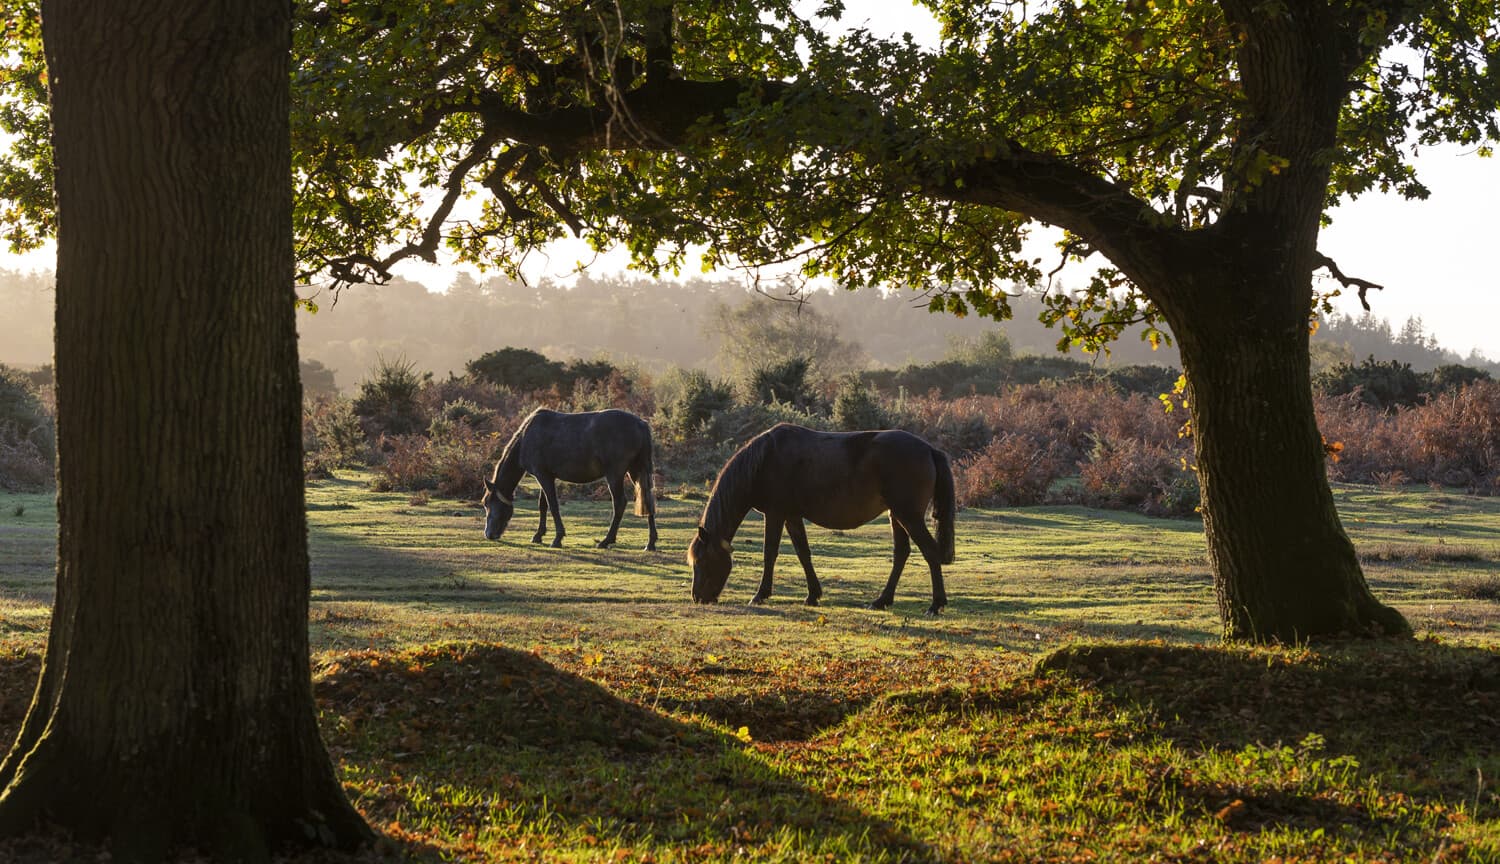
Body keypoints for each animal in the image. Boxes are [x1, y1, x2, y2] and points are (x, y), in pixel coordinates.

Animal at [486, 408, 657, 549]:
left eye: (487, 503)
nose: (488, 534)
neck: (526, 438)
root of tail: (640, 424)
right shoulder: (546, 476)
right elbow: (543, 505)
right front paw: (538, 535)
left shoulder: (543, 476)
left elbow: (553, 506)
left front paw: (557, 539)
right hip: (636, 470)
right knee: (648, 501)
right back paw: (650, 543)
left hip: (615, 475)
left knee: (620, 503)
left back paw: (606, 540)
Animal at [687, 423, 954, 615]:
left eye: (702, 561)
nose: (698, 598)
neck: (764, 461)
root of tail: (929, 449)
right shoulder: (792, 516)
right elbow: (803, 553)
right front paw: (813, 595)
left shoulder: (775, 514)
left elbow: (769, 553)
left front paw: (760, 595)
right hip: (896, 516)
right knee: (901, 554)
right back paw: (881, 601)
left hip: (908, 516)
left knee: (930, 552)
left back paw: (935, 605)